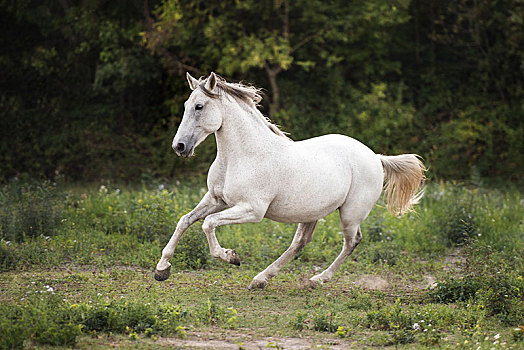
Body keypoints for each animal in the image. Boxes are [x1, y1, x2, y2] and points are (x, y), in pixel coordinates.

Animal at [155, 72, 426, 288]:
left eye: (199, 106)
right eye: (186, 104)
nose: (179, 146)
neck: (242, 156)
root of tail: (375, 157)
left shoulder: (252, 210)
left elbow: (208, 224)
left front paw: (230, 256)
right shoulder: (216, 199)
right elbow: (185, 221)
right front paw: (162, 269)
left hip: (350, 213)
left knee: (351, 242)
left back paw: (317, 280)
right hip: (311, 213)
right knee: (301, 243)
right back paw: (260, 279)